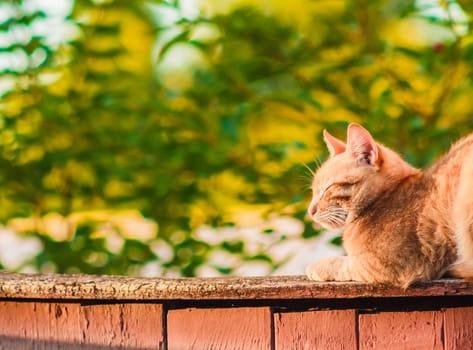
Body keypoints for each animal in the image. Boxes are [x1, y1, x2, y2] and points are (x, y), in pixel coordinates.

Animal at [306, 123, 472, 288]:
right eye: (313, 191)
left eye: (328, 188)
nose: (310, 211)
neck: (385, 198)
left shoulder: (383, 264)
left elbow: (342, 263)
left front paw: (316, 267)